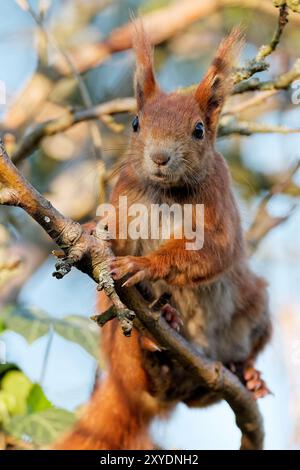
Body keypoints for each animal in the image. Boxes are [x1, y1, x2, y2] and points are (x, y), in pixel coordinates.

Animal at [54, 23, 272, 450]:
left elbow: (214, 252)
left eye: (199, 130)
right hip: (117, 339)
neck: (167, 193)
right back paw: (155, 338)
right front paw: (88, 231)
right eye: (135, 123)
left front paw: (144, 265)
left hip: (255, 306)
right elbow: (113, 238)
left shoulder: (219, 210)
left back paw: (246, 372)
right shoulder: (123, 198)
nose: (159, 157)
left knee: (201, 394)